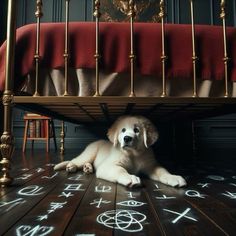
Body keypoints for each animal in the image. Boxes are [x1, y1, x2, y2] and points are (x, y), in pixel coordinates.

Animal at [53, 115, 186, 187]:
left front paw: (173, 177)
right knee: (76, 160)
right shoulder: (108, 166)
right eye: (123, 130)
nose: (127, 138)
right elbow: (120, 170)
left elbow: (162, 171)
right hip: (89, 153)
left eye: (137, 130)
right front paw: (130, 177)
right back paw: (71, 166)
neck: (134, 155)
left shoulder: (151, 165)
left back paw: (88, 168)